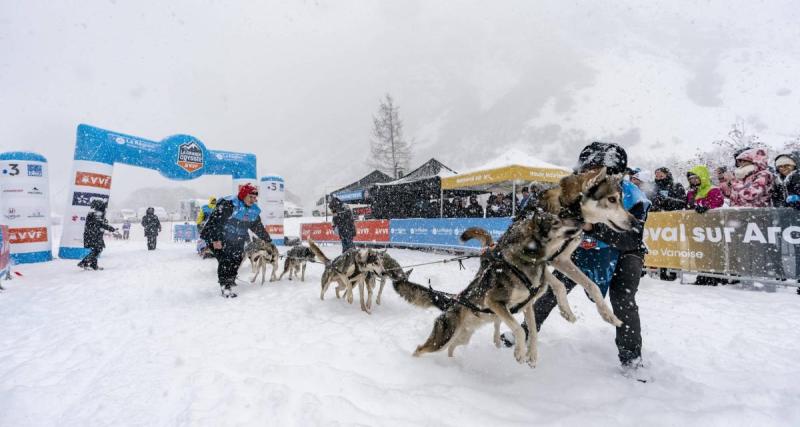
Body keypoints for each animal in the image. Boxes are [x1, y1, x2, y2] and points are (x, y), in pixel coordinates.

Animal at [394, 169, 636, 370]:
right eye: (612, 199)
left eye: (622, 199)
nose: (634, 221)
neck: (567, 207)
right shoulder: (550, 260)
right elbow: (556, 285)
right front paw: (564, 310)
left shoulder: (561, 260)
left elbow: (591, 286)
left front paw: (608, 315)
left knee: (494, 321)